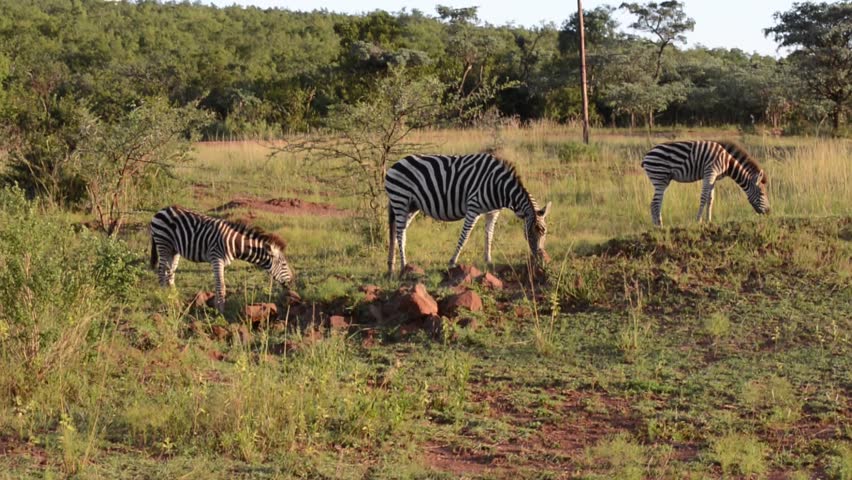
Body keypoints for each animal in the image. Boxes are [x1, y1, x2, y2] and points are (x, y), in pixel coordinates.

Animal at [147, 205, 292, 312]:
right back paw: (164, 298)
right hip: (163, 243)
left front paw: (217, 307)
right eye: (284, 264)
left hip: (174, 249)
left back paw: (175, 299)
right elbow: (221, 285)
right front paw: (221, 311)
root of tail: (162, 210)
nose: (291, 281)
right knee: (161, 273)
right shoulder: (217, 258)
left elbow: (219, 285)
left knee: (170, 273)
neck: (234, 244)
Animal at [382, 152, 552, 276]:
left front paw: (488, 261)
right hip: (401, 199)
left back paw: (392, 266)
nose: (541, 261)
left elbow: (489, 234)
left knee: (398, 231)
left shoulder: (493, 212)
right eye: (528, 235)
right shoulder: (473, 208)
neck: (499, 186)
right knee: (399, 233)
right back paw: (404, 266)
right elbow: (465, 236)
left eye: (544, 233)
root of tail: (395, 164)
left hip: (411, 206)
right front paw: (452, 262)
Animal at [640, 141, 772, 227]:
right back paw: (659, 226)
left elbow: (710, 199)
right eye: (762, 194)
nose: (769, 212)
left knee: (654, 203)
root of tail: (647, 155)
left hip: (662, 179)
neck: (726, 162)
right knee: (655, 203)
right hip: (659, 178)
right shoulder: (710, 172)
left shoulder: (714, 177)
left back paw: (656, 226)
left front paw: (709, 221)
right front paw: (698, 220)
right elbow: (703, 197)